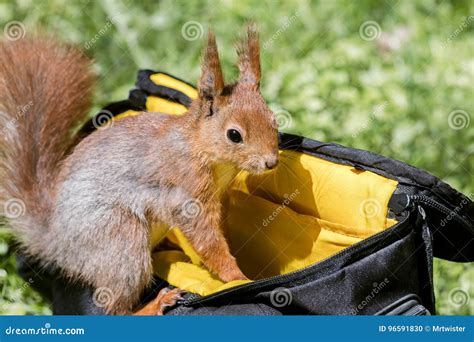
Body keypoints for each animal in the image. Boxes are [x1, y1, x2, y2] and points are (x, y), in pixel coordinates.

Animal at [0, 26, 278, 316]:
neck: (202, 149)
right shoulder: (188, 191)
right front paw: (237, 277)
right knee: (114, 308)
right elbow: (206, 239)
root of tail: (55, 241)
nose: (271, 162)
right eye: (234, 135)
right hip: (120, 237)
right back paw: (154, 304)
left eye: (274, 120)